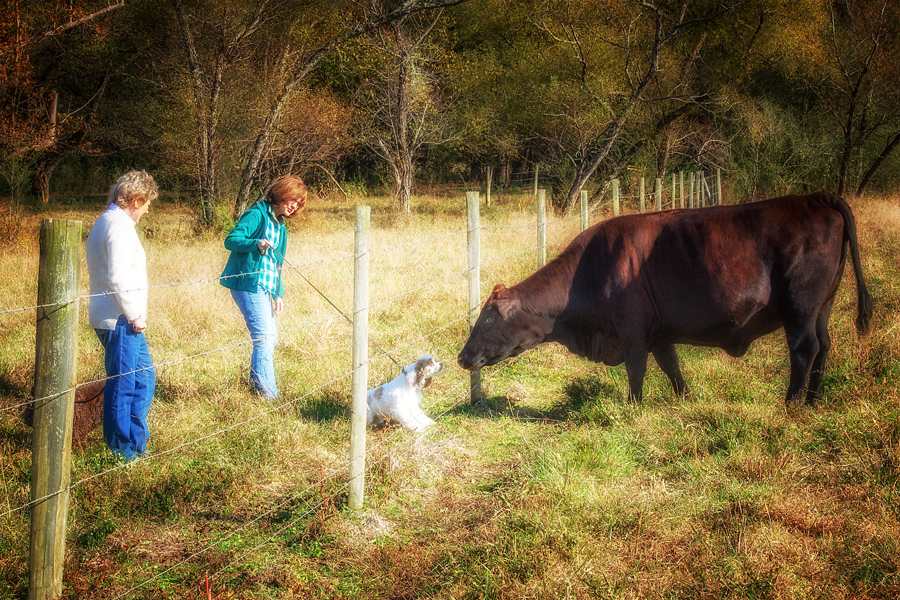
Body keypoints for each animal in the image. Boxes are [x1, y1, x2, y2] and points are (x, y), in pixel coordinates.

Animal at [458, 192, 873, 405]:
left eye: (488, 318)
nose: (462, 357)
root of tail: (816, 197)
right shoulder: (659, 333)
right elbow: (671, 367)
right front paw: (686, 398)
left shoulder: (632, 331)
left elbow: (636, 370)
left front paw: (634, 407)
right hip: (822, 307)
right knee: (824, 345)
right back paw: (814, 400)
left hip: (799, 308)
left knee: (804, 349)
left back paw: (790, 403)